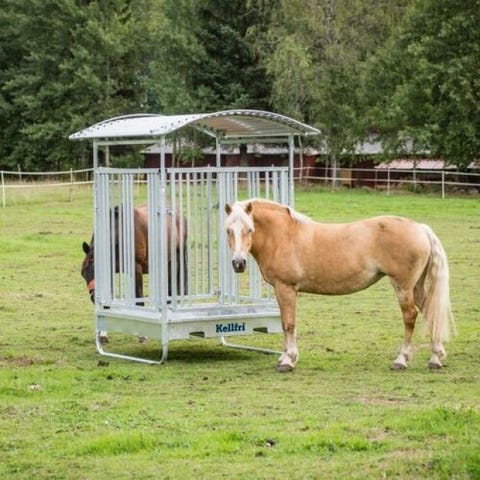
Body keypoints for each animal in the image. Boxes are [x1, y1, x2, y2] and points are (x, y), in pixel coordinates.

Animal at [224, 198, 455, 373]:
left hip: (403, 286)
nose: (238, 263)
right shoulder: (281, 290)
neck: (282, 236)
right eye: (228, 230)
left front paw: (288, 361)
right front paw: (284, 357)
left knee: (410, 316)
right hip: (416, 286)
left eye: (250, 229)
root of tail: (421, 229)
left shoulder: (286, 288)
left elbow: (289, 324)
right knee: (429, 311)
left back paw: (401, 360)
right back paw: (435, 358)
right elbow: (284, 323)